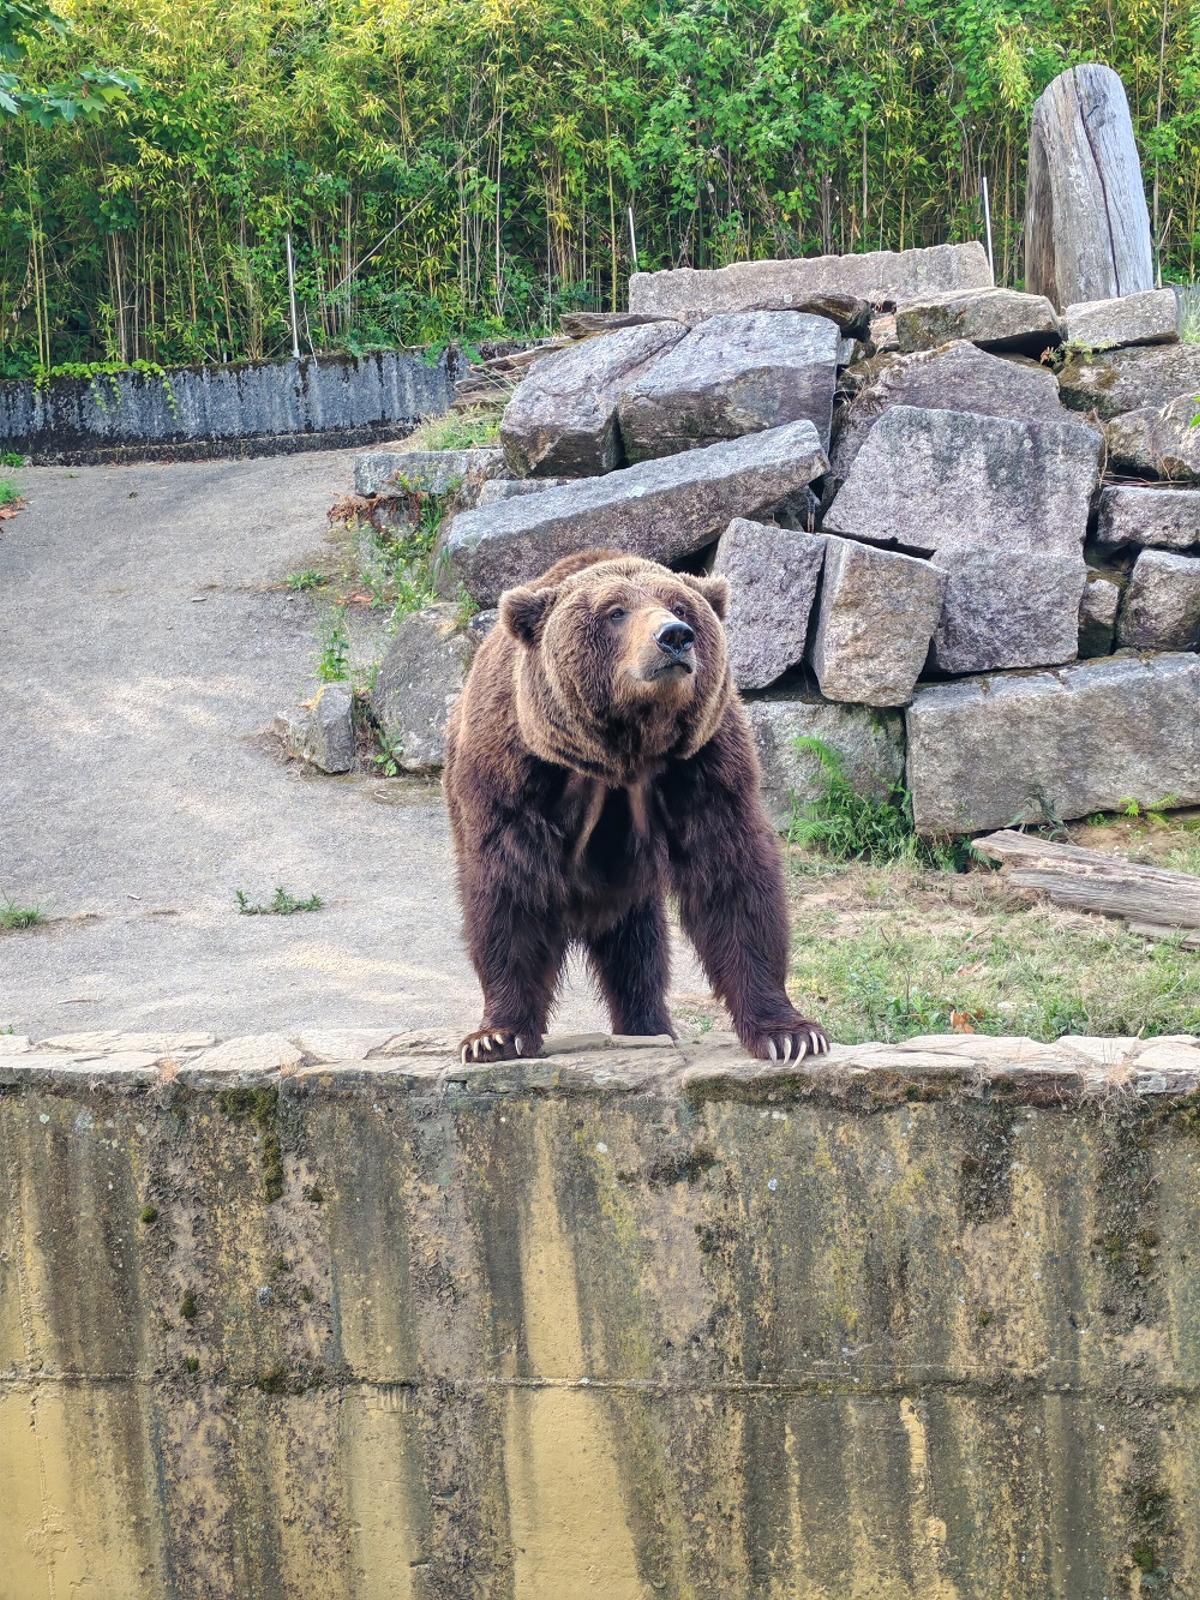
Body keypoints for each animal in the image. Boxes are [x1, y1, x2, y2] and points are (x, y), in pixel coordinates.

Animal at [443, 548, 828, 1066]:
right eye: (615, 611)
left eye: (680, 606)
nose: (674, 637)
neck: (621, 756)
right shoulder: (516, 772)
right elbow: (509, 890)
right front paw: (496, 1036)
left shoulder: (702, 765)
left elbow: (734, 876)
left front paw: (790, 1034)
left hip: (630, 888)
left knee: (638, 952)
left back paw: (649, 1026)